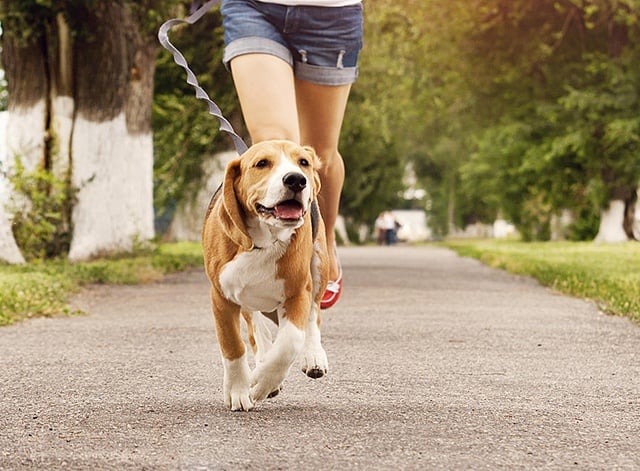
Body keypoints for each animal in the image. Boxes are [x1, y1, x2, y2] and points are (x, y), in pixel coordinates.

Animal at [201, 141, 330, 412]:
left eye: (303, 162)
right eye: (262, 163)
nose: (296, 180)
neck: (263, 241)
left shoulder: (298, 292)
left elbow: (289, 342)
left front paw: (262, 383)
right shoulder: (221, 297)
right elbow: (233, 345)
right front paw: (239, 390)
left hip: (319, 263)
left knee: (313, 314)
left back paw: (313, 356)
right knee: (255, 326)